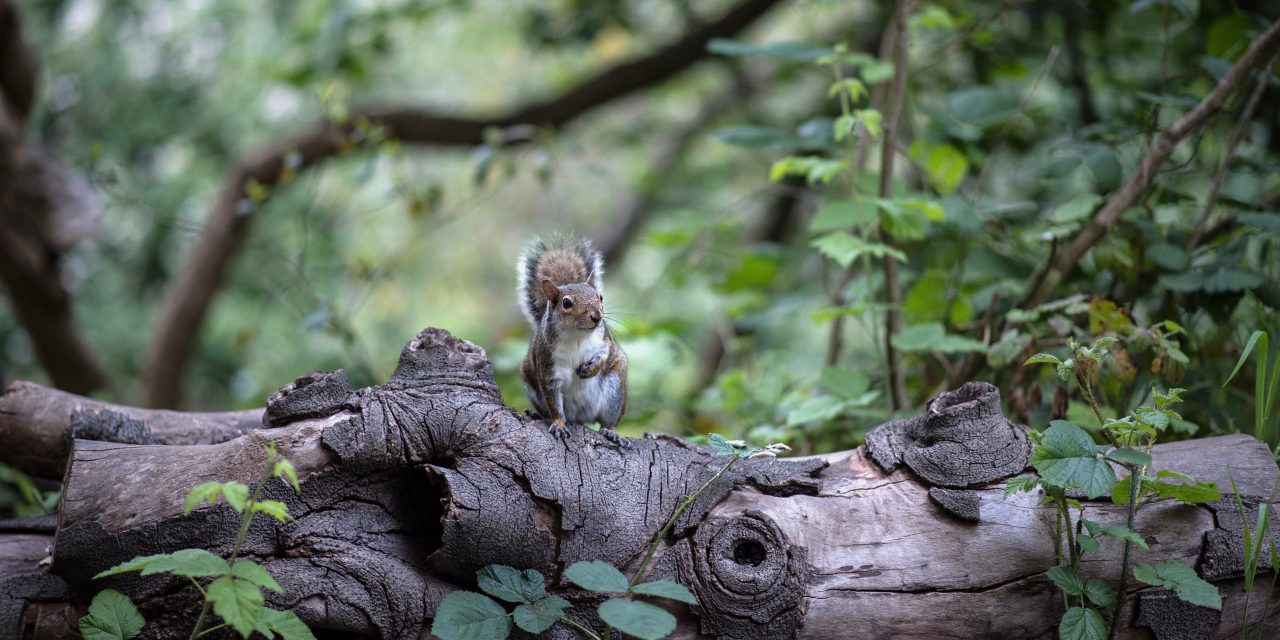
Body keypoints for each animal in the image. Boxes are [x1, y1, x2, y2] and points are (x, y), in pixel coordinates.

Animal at [517, 237, 628, 444]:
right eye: (566, 303)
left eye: (600, 297)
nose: (597, 316)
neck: (577, 335)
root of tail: (582, 416)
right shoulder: (547, 366)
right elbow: (554, 404)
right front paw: (559, 424)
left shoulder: (604, 337)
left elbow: (606, 350)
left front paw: (591, 368)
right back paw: (539, 415)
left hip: (615, 389)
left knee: (609, 420)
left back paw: (611, 432)